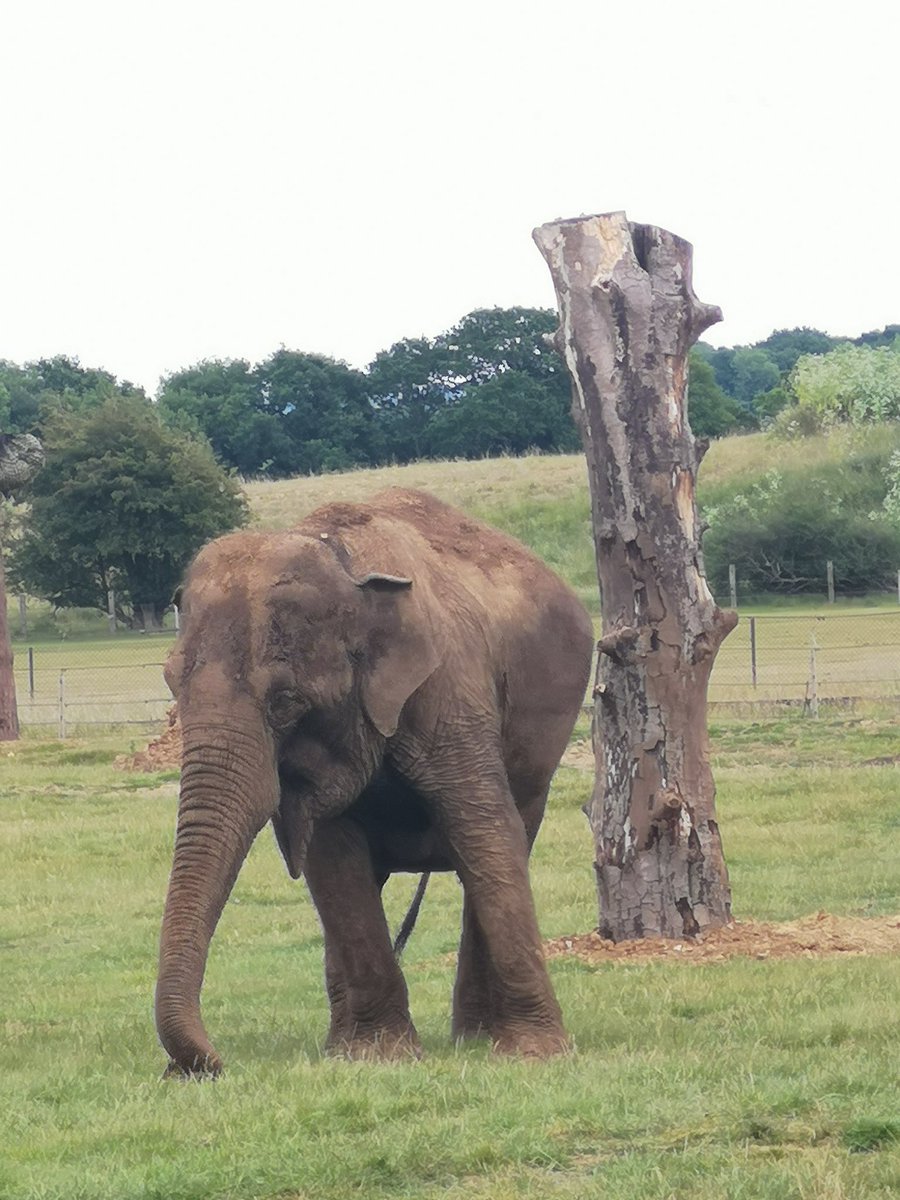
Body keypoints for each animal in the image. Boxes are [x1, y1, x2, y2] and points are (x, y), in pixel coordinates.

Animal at [157, 487, 592, 1080]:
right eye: (170, 682)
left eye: (285, 701)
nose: (207, 1065)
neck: (345, 562)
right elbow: (333, 857)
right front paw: (375, 1056)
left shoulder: (450, 689)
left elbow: (485, 830)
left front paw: (535, 1055)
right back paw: (351, 1042)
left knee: (504, 842)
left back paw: (476, 1039)